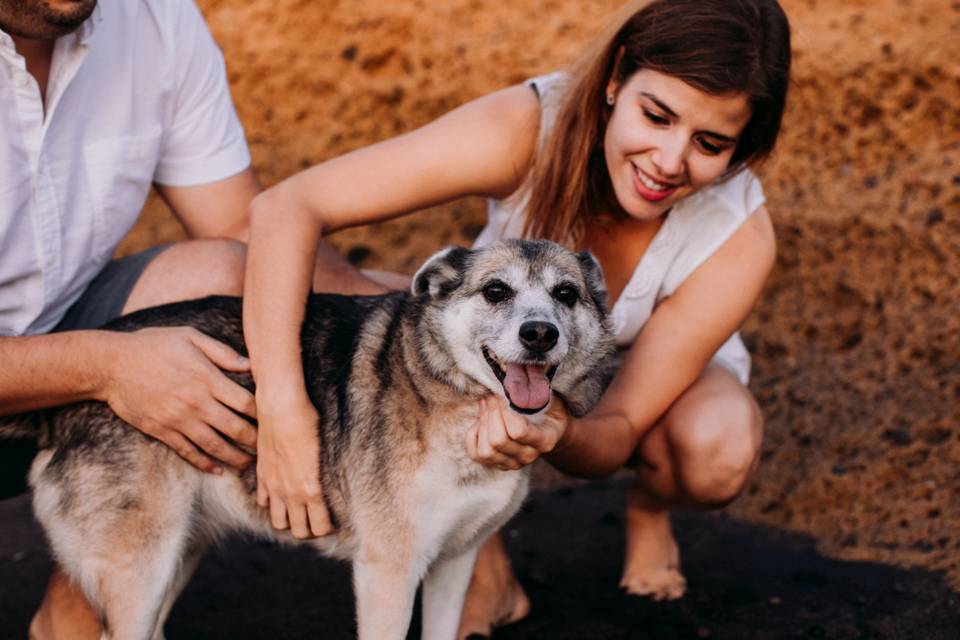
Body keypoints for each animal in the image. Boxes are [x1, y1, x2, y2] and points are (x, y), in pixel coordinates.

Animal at [1, 238, 616, 636]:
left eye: (566, 294)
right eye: (495, 290)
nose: (540, 334)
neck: (451, 394)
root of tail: (60, 407)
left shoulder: (454, 561)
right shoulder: (388, 574)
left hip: (178, 555)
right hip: (141, 571)